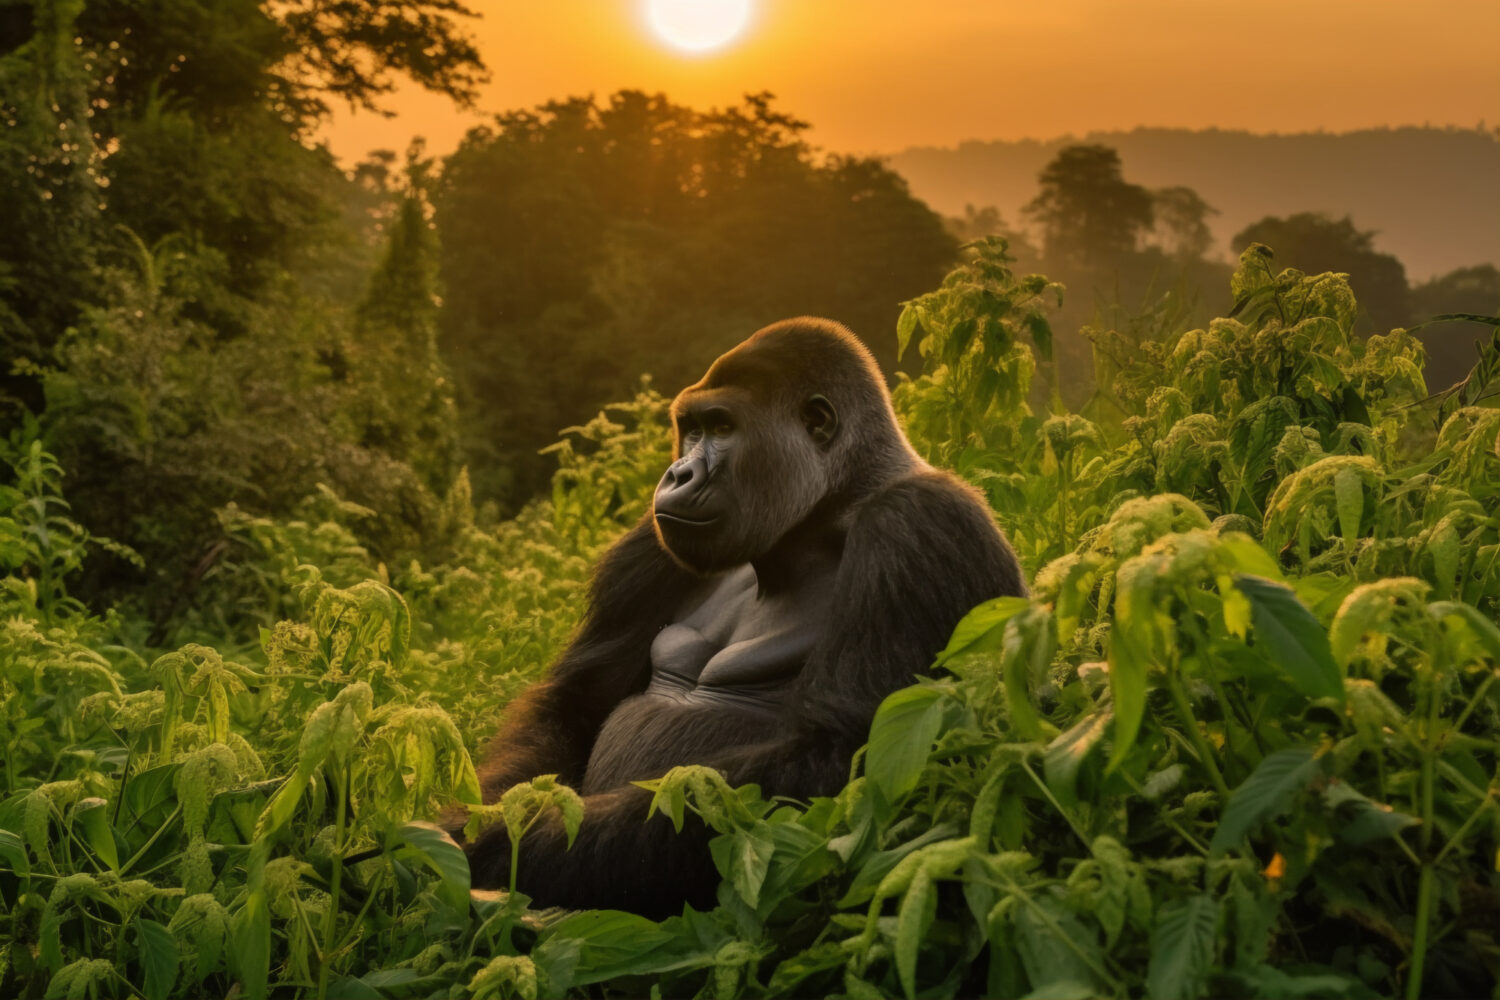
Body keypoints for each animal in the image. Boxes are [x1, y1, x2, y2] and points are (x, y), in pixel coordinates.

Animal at [465, 314, 1032, 917]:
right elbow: (574, 703)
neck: (836, 502)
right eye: (691, 429)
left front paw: (506, 844)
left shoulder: (917, 526)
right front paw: (483, 820)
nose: (678, 474)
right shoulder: (648, 543)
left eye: (722, 426)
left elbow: (843, 762)